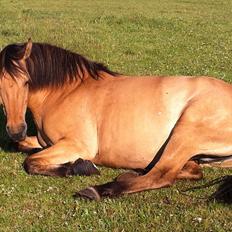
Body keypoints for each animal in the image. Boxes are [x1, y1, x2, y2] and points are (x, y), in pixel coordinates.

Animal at [0, 39, 232, 200]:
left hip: (186, 133)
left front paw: (79, 167)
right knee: (191, 170)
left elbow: (30, 162)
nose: (16, 129)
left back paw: (96, 190)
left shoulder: (76, 145)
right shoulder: (43, 141)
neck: (65, 92)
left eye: (26, 82)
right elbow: (21, 146)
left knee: (162, 175)